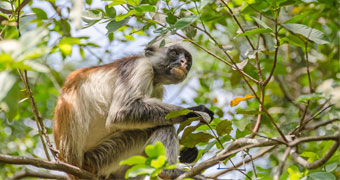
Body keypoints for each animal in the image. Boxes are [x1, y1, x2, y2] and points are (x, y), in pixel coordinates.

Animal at [52, 41, 212, 179]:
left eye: (188, 58)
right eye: (174, 53)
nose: (184, 62)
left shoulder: (157, 87)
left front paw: (188, 152)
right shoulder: (140, 66)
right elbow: (122, 112)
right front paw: (196, 111)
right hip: (99, 159)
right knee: (161, 127)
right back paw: (167, 171)